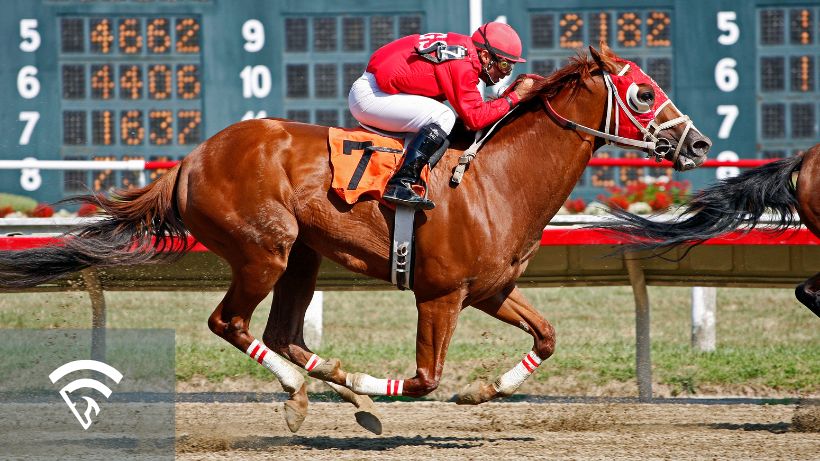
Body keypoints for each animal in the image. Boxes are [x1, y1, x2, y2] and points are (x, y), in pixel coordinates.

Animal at [0, 44, 712, 432]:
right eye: (643, 94)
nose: (699, 143)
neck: (497, 180)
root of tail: (191, 160)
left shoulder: (490, 289)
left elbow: (547, 337)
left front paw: (483, 391)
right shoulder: (439, 294)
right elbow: (423, 380)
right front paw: (384, 391)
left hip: (303, 257)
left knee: (283, 332)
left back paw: (326, 385)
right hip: (266, 249)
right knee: (231, 323)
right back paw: (303, 393)